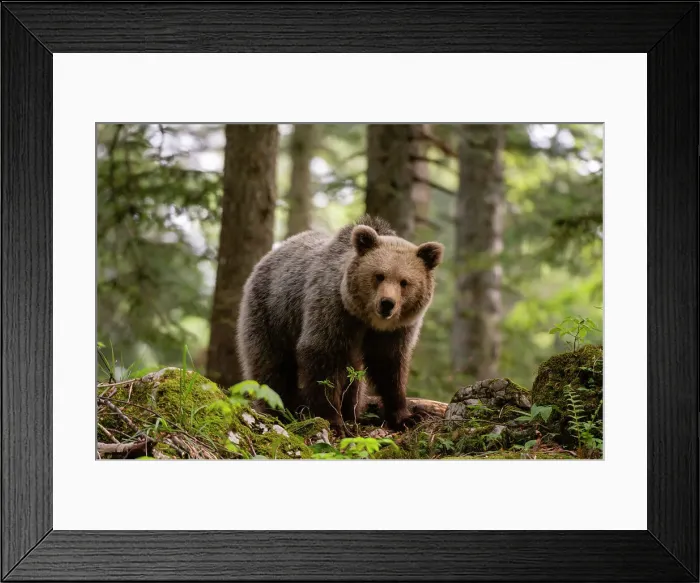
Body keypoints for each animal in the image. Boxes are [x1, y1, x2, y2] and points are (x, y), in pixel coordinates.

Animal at [236, 215, 444, 433]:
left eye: (404, 282)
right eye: (379, 276)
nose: (387, 303)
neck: (366, 320)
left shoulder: (395, 331)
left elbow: (389, 367)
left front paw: (405, 417)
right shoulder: (333, 311)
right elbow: (322, 355)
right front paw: (333, 420)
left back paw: (351, 412)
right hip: (272, 314)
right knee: (272, 366)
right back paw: (281, 411)